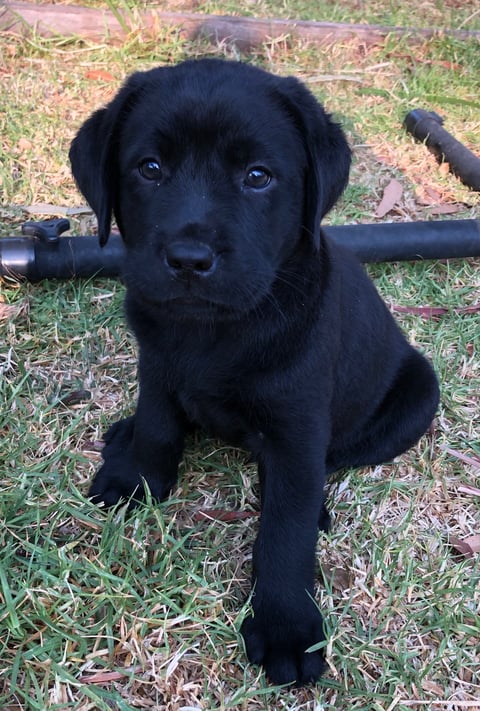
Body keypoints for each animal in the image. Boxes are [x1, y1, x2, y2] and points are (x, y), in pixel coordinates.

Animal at [69, 58, 440, 688]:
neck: (216, 332)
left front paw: (286, 625)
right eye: (150, 169)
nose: (189, 260)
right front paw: (139, 474)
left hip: (418, 394)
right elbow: (159, 422)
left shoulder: (297, 424)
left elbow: (286, 528)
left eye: (259, 177)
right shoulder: (156, 361)